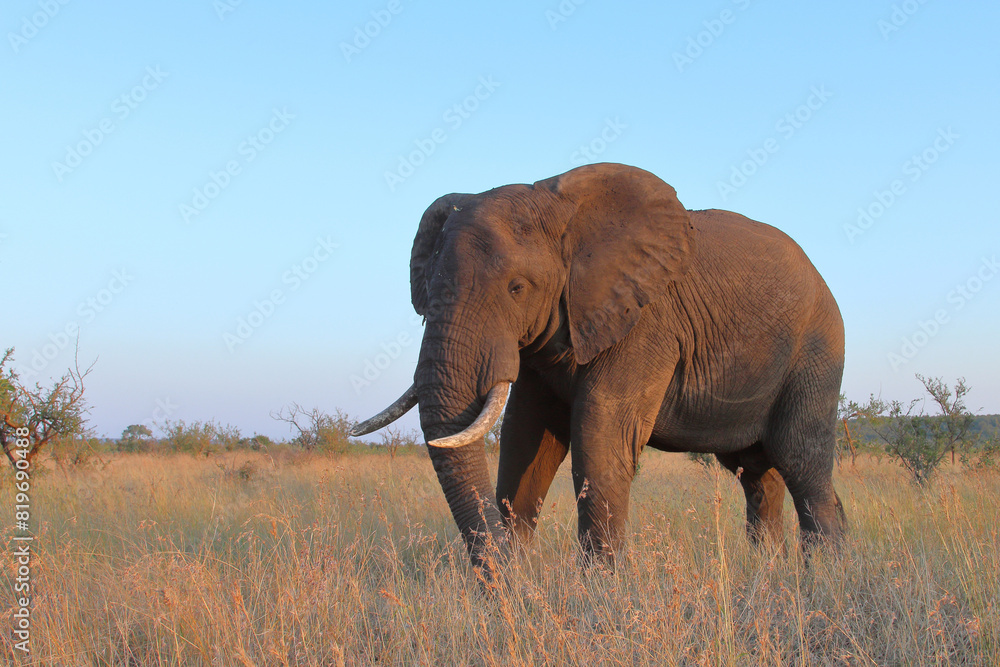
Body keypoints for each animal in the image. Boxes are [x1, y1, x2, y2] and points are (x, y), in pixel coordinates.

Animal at [351, 162, 846, 574]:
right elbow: (525, 437)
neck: (563, 210)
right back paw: (776, 570)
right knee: (758, 473)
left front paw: (600, 589)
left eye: (517, 288)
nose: (509, 582)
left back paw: (824, 574)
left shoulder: (644, 321)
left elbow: (599, 433)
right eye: (427, 290)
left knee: (800, 458)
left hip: (816, 350)